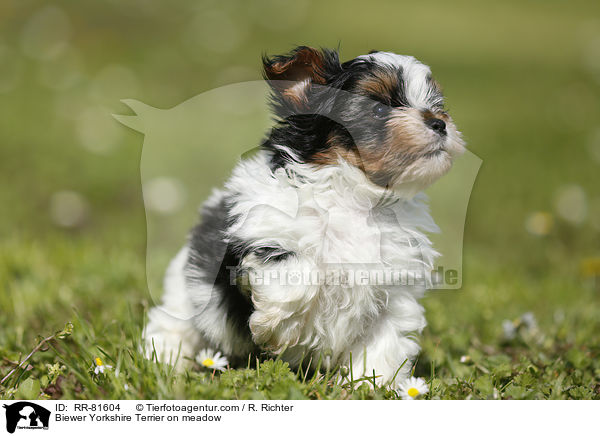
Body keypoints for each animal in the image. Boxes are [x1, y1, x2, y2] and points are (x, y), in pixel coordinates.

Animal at [143, 46, 466, 388]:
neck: (356, 198)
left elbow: (385, 341)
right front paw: (278, 328)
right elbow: (301, 270)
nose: (439, 123)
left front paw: (372, 385)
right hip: (187, 294)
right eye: (378, 110)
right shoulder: (266, 231)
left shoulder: (395, 290)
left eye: (436, 106)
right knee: (172, 325)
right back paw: (167, 362)